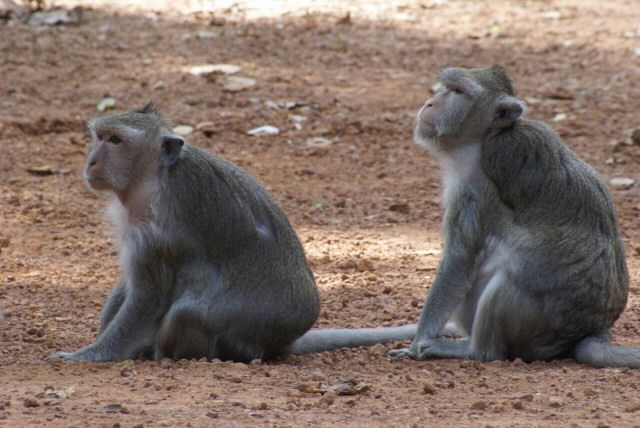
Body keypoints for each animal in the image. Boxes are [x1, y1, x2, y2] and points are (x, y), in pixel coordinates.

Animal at [46, 103, 416, 362]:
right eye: (100, 137)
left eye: (116, 141)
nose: (92, 161)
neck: (156, 177)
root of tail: (282, 341)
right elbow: (130, 284)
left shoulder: (154, 232)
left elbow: (148, 297)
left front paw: (88, 355)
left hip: (242, 330)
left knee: (187, 310)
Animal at [390, 66, 640, 368]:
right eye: (444, 87)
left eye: (458, 91)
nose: (429, 103)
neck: (484, 138)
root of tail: (592, 331)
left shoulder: (474, 190)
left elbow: (459, 260)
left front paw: (417, 342)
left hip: (538, 322)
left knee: (509, 276)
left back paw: (476, 351)